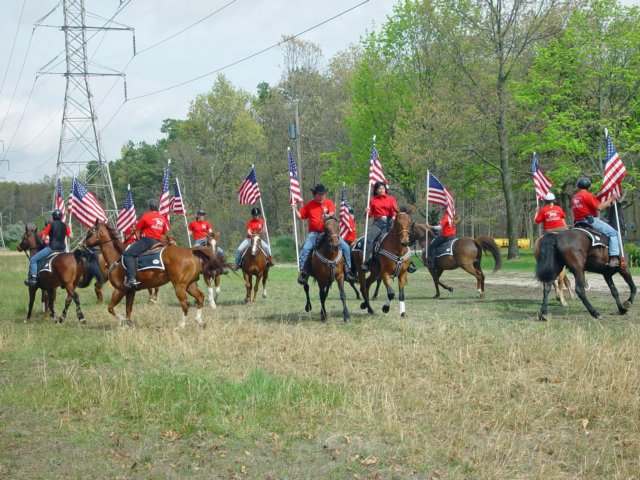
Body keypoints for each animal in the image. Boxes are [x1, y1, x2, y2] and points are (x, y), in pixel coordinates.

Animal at [84, 222, 219, 328]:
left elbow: (111, 308)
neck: (117, 256)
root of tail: (190, 251)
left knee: (185, 303)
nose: (83, 244)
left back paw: (181, 325)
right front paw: (128, 323)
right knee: (200, 297)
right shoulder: (130, 291)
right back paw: (199, 321)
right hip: (190, 285)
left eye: (90, 232)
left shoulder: (120, 289)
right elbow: (128, 309)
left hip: (179, 286)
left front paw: (123, 321)